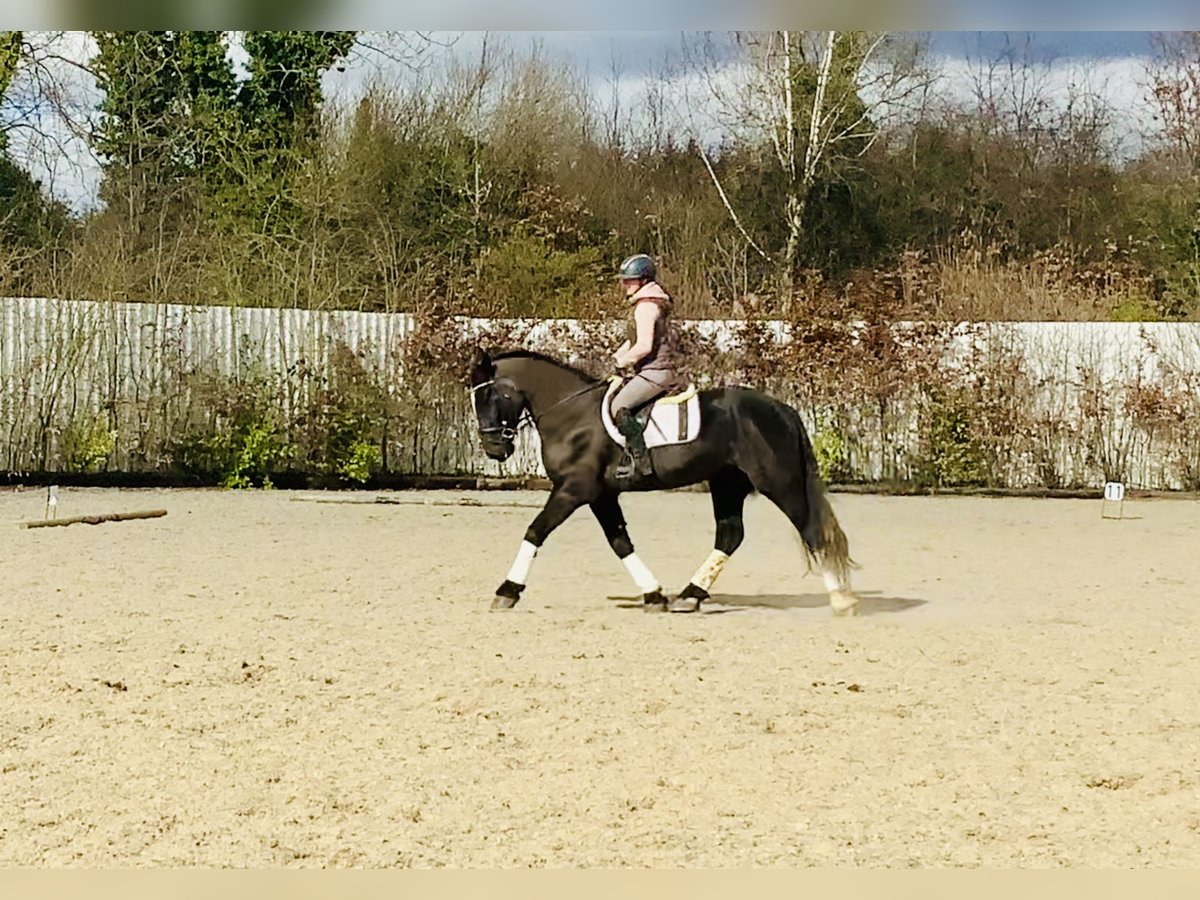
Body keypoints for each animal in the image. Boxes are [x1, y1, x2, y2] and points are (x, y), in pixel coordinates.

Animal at [463, 348, 859, 619]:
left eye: (488, 396)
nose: (495, 448)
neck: (570, 415)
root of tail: (781, 410)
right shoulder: (600, 495)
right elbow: (620, 542)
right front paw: (653, 594)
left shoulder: (574, 490)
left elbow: (535, 531)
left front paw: (508, 591)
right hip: (726, 483)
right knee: (730, 535)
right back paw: (690, 595)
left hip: (779, 482)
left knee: (811, 529)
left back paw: (842, 600)